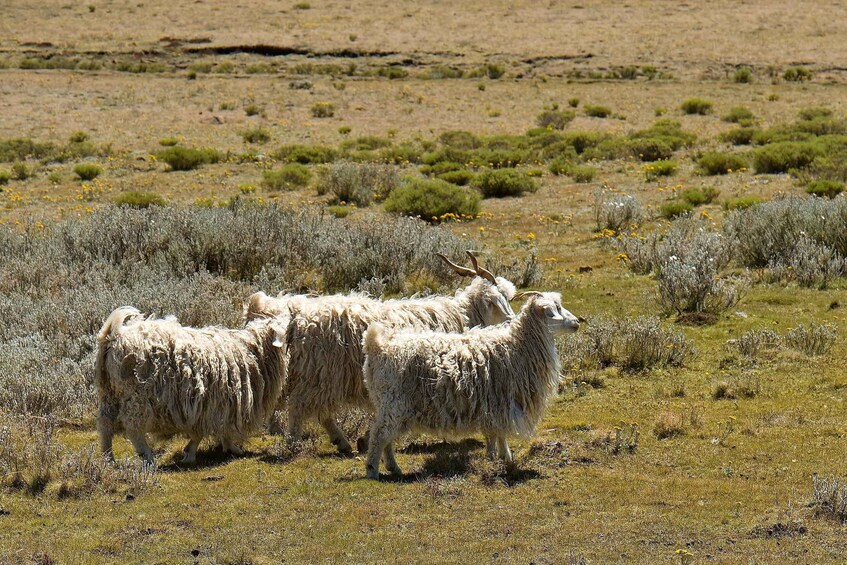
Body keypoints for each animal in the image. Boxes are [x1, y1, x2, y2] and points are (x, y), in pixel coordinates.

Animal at [94, 306, 289, 465]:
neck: (254, 350)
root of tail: (113, 336)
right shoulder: (217, 403)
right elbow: (204, 431)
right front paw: (194, 453)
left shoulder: (217, 404)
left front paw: (225, 448)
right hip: (136, 394)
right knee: (133, 428)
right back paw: (148, 458)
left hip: (109, 393)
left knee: (105, 425)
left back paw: (108, 459)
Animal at [244, 251, 517, 455]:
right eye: (499, 301)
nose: (512, 321)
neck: (463, 315)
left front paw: (366, 438)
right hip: (319, 371)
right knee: (300, 406)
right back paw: (294, 443)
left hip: (318, 374)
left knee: (318, 411)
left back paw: (342, 443)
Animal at [361, 291, 580, 479]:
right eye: (556, 309)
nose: (577, 322)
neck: (518, 345)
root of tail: (378, 346)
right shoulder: (503, 401)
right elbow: (500, 433)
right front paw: (506, 458)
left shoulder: (496, 403)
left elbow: (496, 433)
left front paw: (500, 456)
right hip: (393, 401)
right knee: (379, 436)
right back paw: (373, 471)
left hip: (387, 404)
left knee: (386, 438)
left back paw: (393, 468)